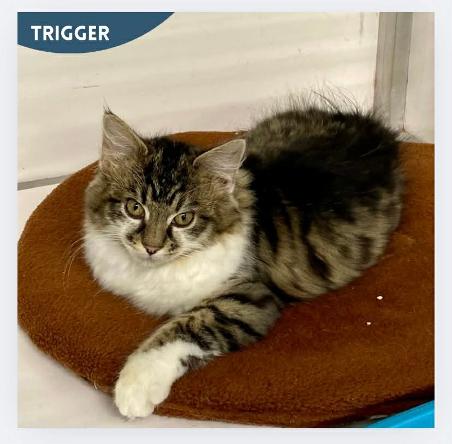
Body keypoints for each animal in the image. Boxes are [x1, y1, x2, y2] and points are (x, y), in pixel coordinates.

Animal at [83, 103, 403, 419]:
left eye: (184, 218)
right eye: (134, 208)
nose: (151, 247)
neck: (152, 273)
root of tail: (378, 129)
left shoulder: (249, 297)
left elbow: (185, 326)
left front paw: (135, 386)